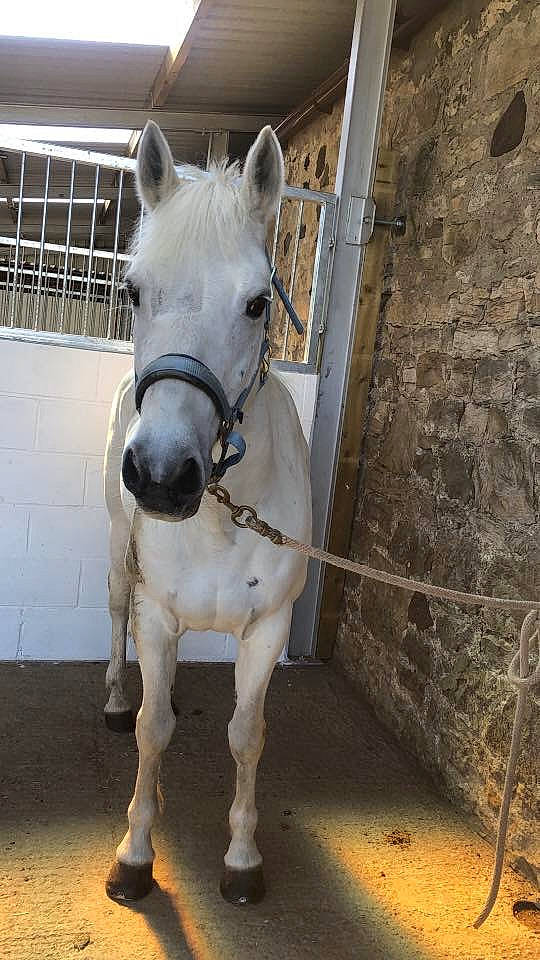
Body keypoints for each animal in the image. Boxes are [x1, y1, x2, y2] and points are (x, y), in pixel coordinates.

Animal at [102, 121, 312, 905]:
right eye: (132, 288)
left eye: (257, 303)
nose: (162, 476)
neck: (222, 519)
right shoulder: (157, 614)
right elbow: (153, 730)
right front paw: (134, 855)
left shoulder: (269, 629)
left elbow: (247, 734)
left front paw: (243, 860)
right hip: (116, 553)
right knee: (115, 624)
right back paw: (113, 697)